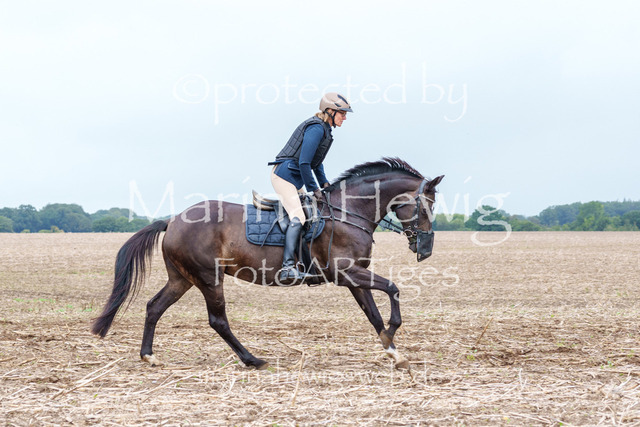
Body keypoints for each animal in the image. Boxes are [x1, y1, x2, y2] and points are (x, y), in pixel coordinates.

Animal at [91, 158, 444, 370]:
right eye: (427, 206)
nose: (425, 249)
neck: (349, 211)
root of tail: (173, 220)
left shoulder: (355, 276)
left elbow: (373, 313)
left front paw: (393, 351)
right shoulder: (345, 272)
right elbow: (393, 288)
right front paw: (393, 337)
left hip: (183, 278)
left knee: (154, 306)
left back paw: (148, 355)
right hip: (209, 278)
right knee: (218, 320)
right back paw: (252, 359)